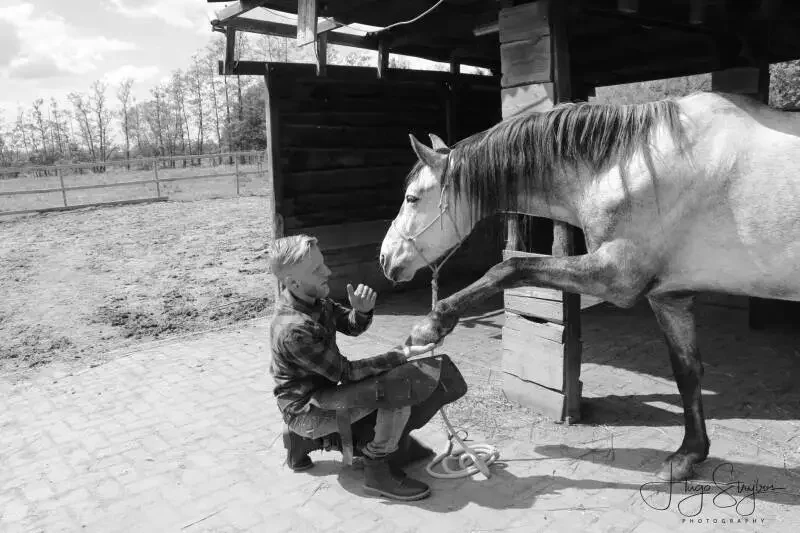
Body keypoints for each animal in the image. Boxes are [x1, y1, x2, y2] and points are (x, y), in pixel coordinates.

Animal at [378, 92, 800, 482]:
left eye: (412, 198)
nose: (385, 258)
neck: (634, 166)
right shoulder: (669, 297)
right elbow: (687, 372)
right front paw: (688, 456)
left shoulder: (614, 277)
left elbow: (509, 267)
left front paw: (431, 325)